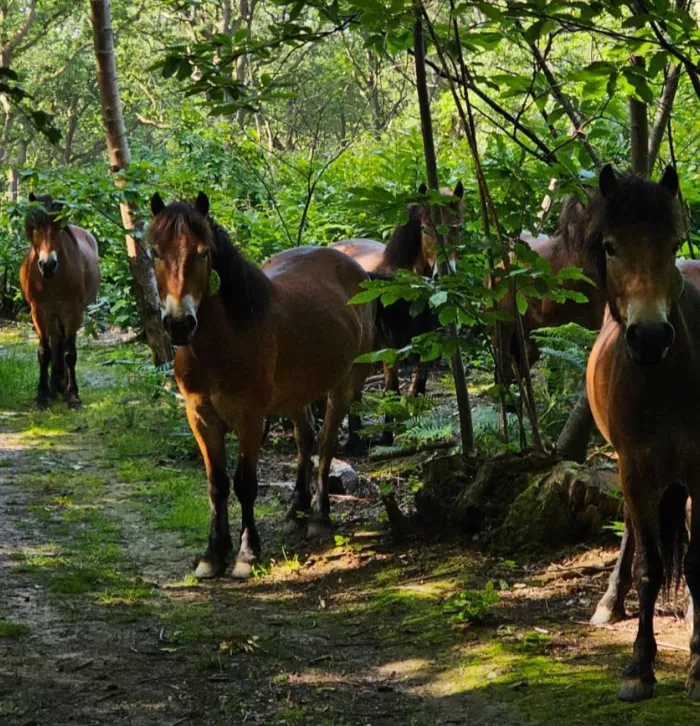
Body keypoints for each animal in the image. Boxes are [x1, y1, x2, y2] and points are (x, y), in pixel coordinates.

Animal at [19, 193, 100, 408]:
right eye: (35, 227)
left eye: (59, 227)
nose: (48, 264)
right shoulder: (39, 312)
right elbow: (44, 352)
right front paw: (42, 395)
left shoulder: (72, 312)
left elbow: (69, 353)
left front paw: (73, 395)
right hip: (52, 315)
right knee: (55, 343)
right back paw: (54, 387)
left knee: (61, 345)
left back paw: (61, 387)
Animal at [147, 192, 375, 580]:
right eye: (155, 252)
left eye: (203, 252)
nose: (179, 324)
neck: (224, 339)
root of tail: (349, 263)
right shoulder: (200, 416)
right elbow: (217, 484)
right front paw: (213, 554)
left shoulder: (250, 417)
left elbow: (245, 484)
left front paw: (246, 554)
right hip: (296, 393)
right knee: (305, 438)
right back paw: (295, 511)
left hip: (344, 384)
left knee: (326, 441)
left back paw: (318, 517)